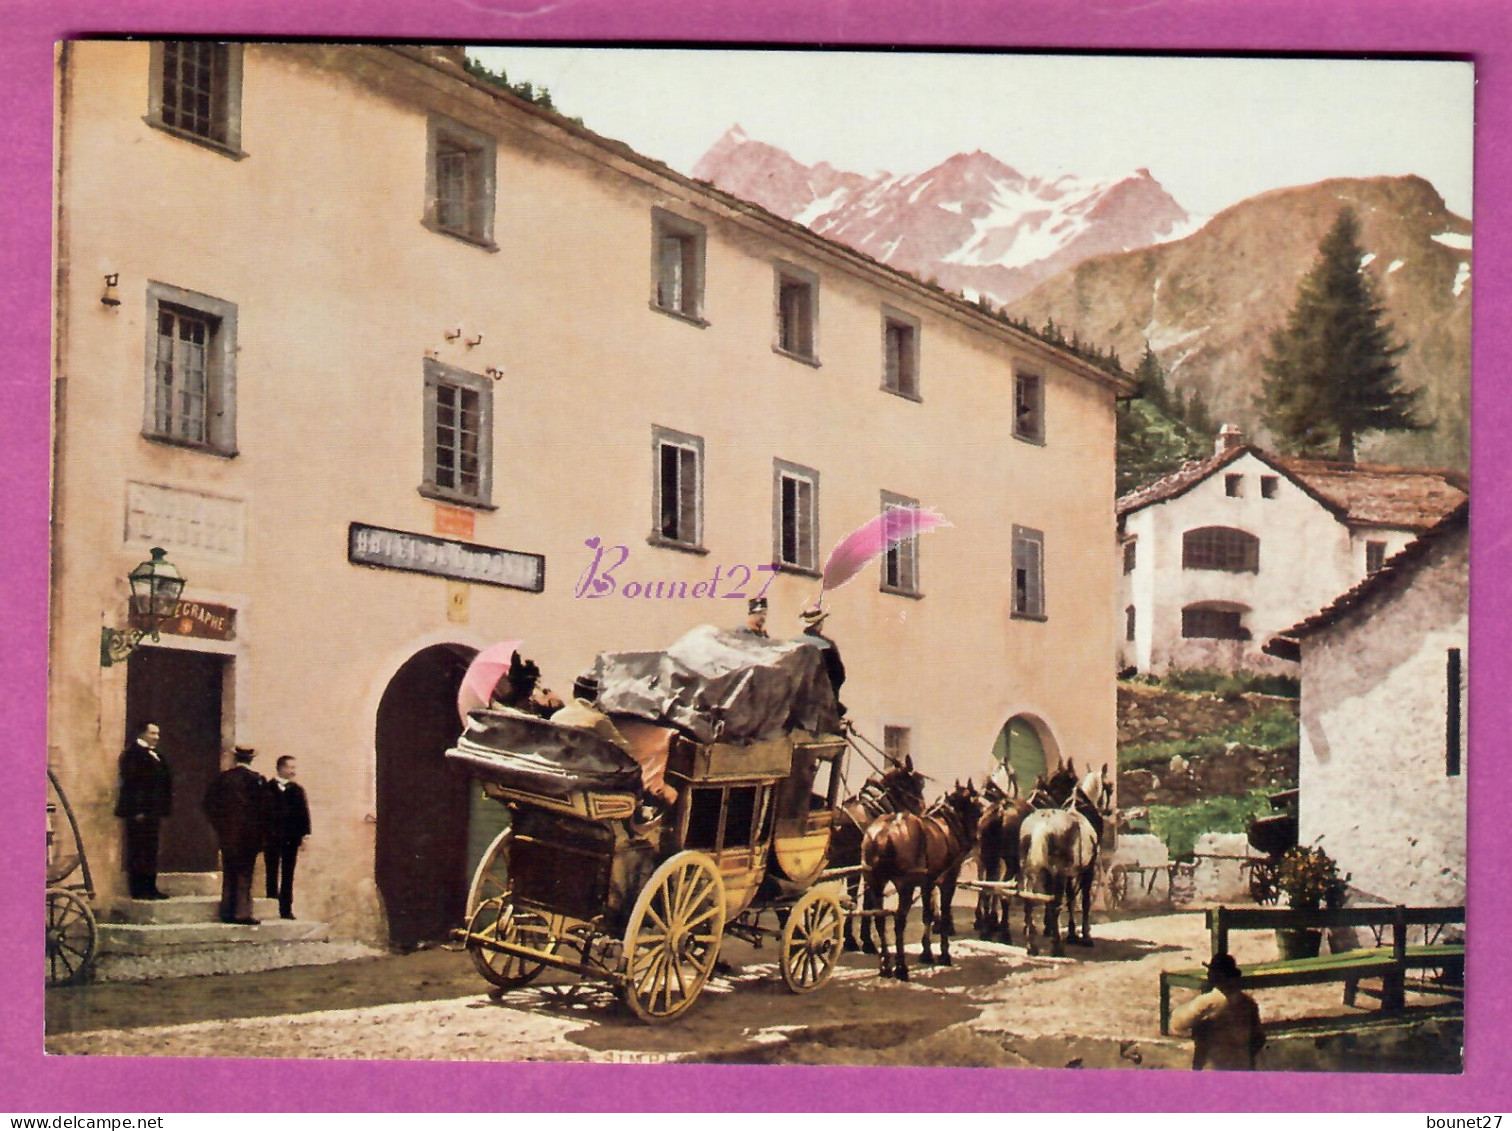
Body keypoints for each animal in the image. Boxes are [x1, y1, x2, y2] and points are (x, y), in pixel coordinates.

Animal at [834, 756, 925, 949]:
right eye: (918, 784)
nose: (923, 809)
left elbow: (859, 901)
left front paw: (856, 939)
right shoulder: (864, 869)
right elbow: (863, 901)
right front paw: (861, 941)